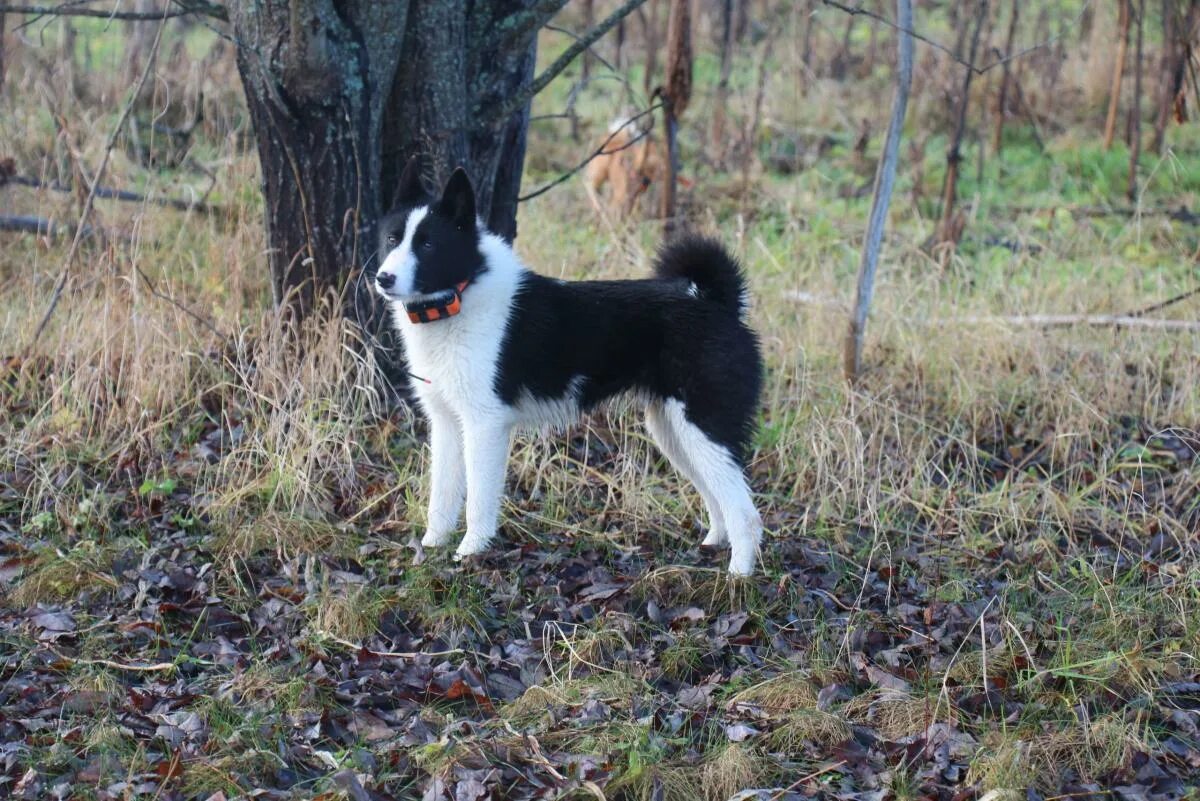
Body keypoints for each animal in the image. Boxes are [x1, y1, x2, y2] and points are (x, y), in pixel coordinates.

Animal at [374, 163, 763, 573]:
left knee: (745, 511)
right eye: (392, 238)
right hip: (674, 432)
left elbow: (478, 500)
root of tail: (717, 303)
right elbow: (443, 495)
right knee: (717, 496)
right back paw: (712, 547)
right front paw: (431, 547)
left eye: (428, 245)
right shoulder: (446, 422)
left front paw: (470, 554)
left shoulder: (484, 426)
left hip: (702, 425)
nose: (384, 278)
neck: (459, 297)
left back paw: (737, 575)